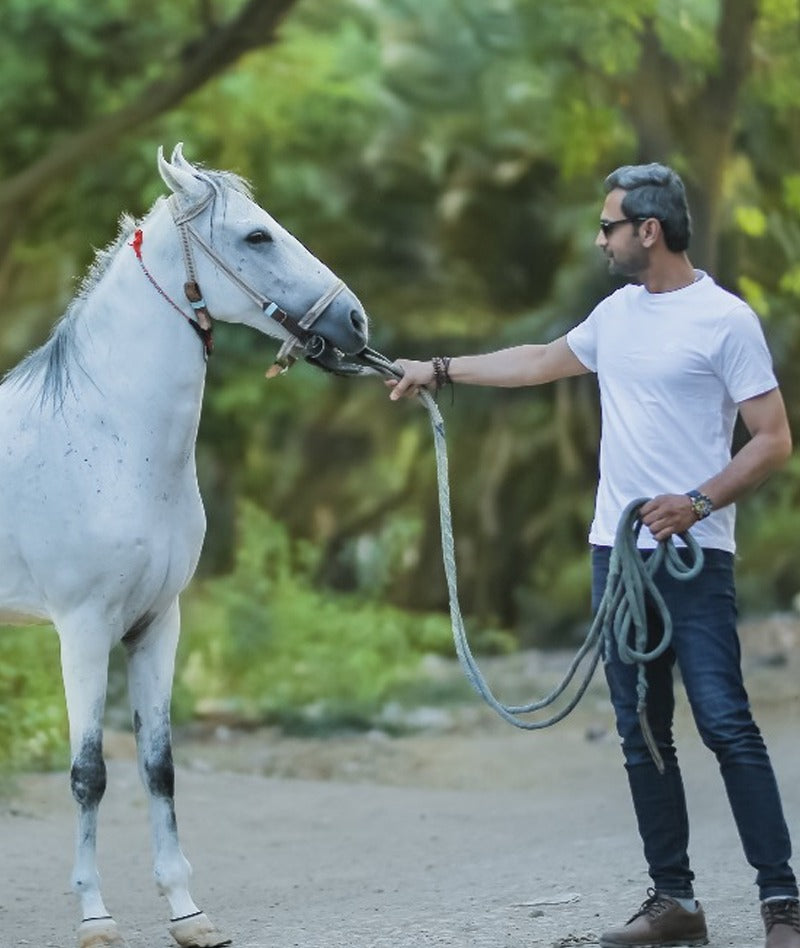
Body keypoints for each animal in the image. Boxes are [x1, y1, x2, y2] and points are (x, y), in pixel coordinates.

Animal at [0, 144, 368, 944]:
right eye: (257, 235)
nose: (355, 321)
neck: (104, 434)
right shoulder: (83, 629)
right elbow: (89, 773)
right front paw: (96, 917)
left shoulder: (156, 624)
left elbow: (159, 767)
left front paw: (188, 912)